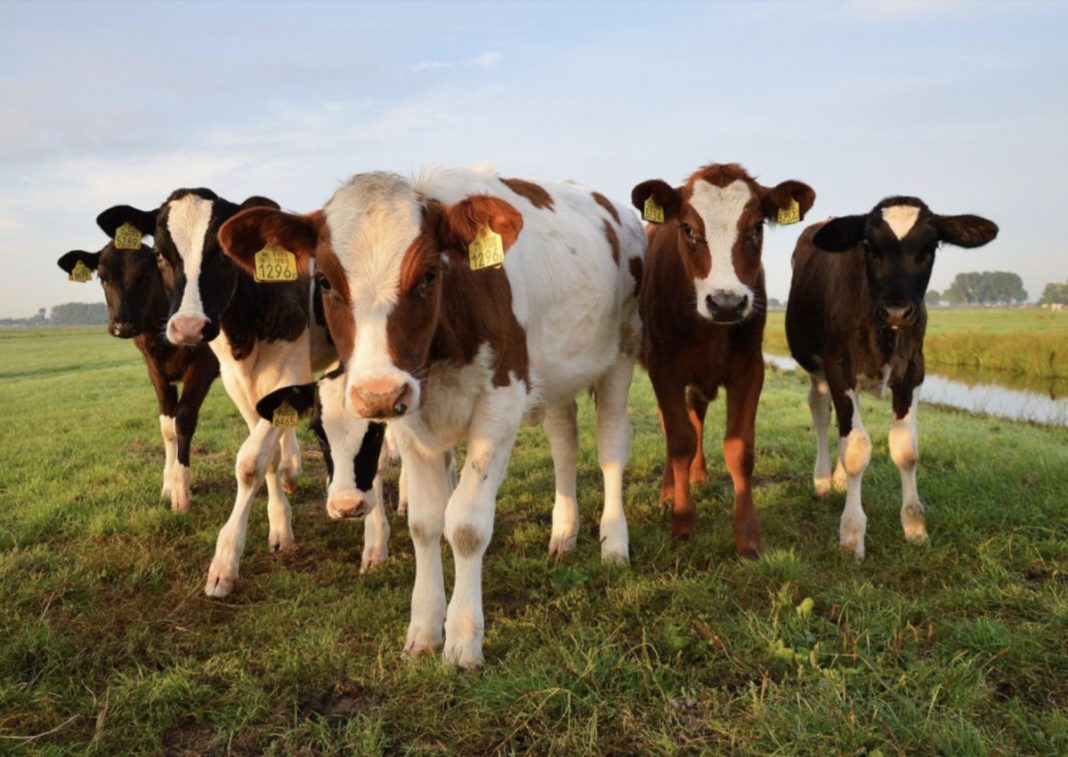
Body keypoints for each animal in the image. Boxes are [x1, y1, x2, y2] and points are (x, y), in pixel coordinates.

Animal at [56, 208, 218, 512]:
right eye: (102, 277)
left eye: (145, 275)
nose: (123, 326)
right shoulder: (155, 371)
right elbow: (167, 426)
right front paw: (168, 486)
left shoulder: (203, 365)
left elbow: (184, 420)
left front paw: (182, 493)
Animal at [105, 188, 340, 596]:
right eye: (160, 255)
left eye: (221, 253)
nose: (187, 327)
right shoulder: (236, 381)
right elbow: (268, 458)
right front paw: (281, 526)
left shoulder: (284, 373)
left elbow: (250, 462)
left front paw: (225, 563)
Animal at [218, 167, 646, 667]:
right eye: (322, 281)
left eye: (428, 274)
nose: (377, 393)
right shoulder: (411, 417)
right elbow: (425, 522)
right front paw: (424, 629)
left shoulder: (501, 404)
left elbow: (466, 525)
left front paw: (462, 639)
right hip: (558, 374)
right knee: (564, 442)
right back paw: (564, 533)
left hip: (621, 355)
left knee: (611, 447)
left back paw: (614, 543)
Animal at [631, 163, 816, 557]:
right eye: (687, 228)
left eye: (757, 226)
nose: (727, 303)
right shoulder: (663, 368)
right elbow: (679, 440)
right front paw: (682, 522)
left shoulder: (750, 368)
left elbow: (739, 448)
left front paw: (748, 536)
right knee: (673, 426)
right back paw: (669, 491)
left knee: (696, 412)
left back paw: (698, 474)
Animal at [785, 196, 998, 559]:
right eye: (870, 248)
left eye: (929, 249)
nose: (897, 311)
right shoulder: (839, 368)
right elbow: (856, 448)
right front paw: (852, 533)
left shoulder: (913, 370)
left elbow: (905, 449)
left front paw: (914, 525)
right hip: (817, 369)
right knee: (821, 414)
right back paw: (823, 480)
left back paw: (838, 479)